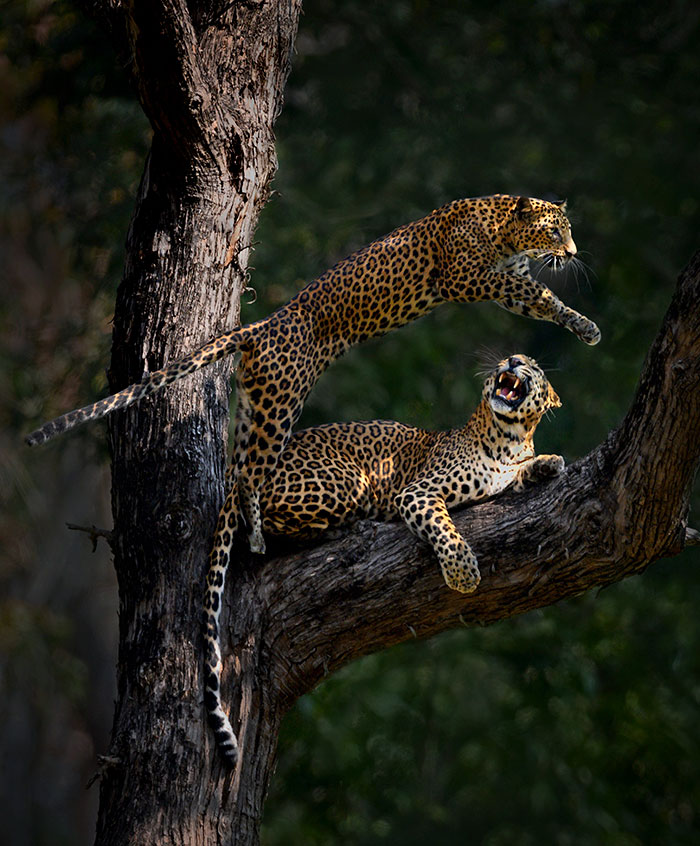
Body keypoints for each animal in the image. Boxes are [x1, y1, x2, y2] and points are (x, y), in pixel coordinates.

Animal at [26, 194, 598, 556]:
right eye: (556, 229)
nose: (572, 252)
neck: (505, 229)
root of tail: (261, 325)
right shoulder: (473, 276)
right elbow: (535, 293)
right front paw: (583, 320)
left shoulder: (506, 279)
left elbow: (541, 300)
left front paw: (582, 325)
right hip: (282, 407)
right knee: (250, 477)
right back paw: (261, 536)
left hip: (253, 408)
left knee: (239, 469)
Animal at [204, 353, 564, 765]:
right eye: (511, 359)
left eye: (534, 368)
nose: (514, 360)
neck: (508, 441)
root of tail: (241, 468)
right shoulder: (418, 492)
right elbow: (445, 528)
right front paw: (463, 573)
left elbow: (520, 473)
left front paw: (548, 463)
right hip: (347, 479)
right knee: (265, 528)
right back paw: (346, 529)